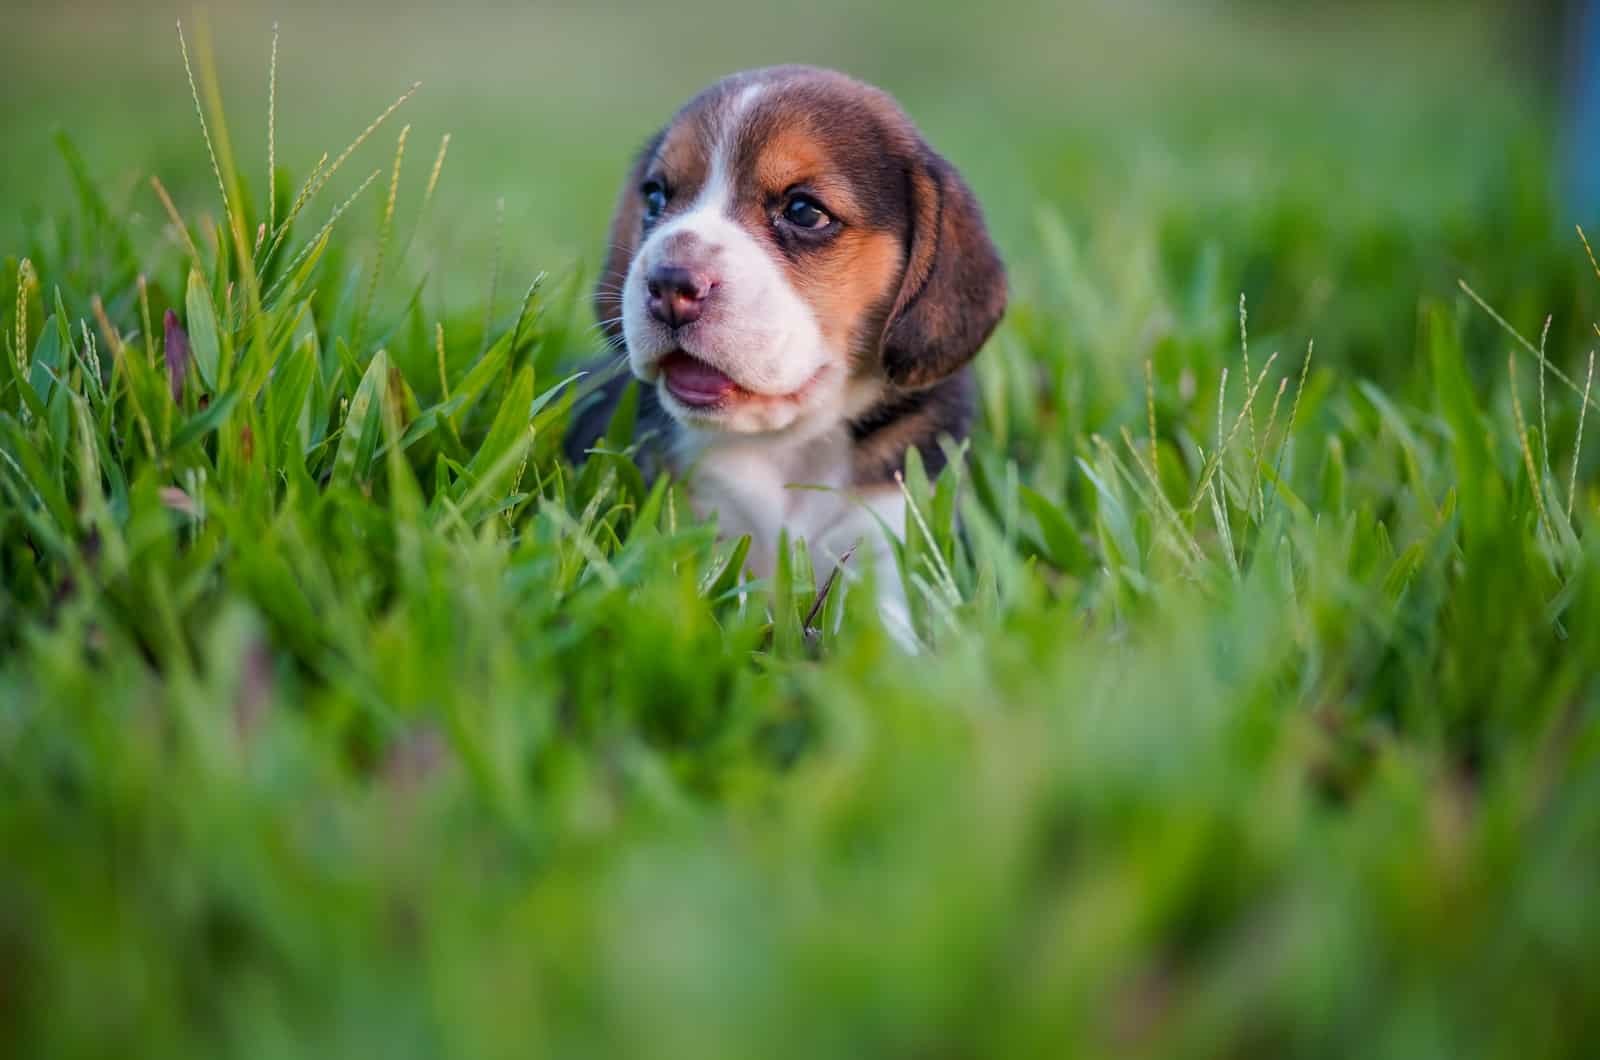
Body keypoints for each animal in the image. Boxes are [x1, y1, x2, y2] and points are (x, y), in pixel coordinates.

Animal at [569, 66, 1004, 640]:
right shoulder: (697, 518)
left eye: (803, 211)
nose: (668, 285)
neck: (790, 445)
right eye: (656, 198)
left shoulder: (887, 535)